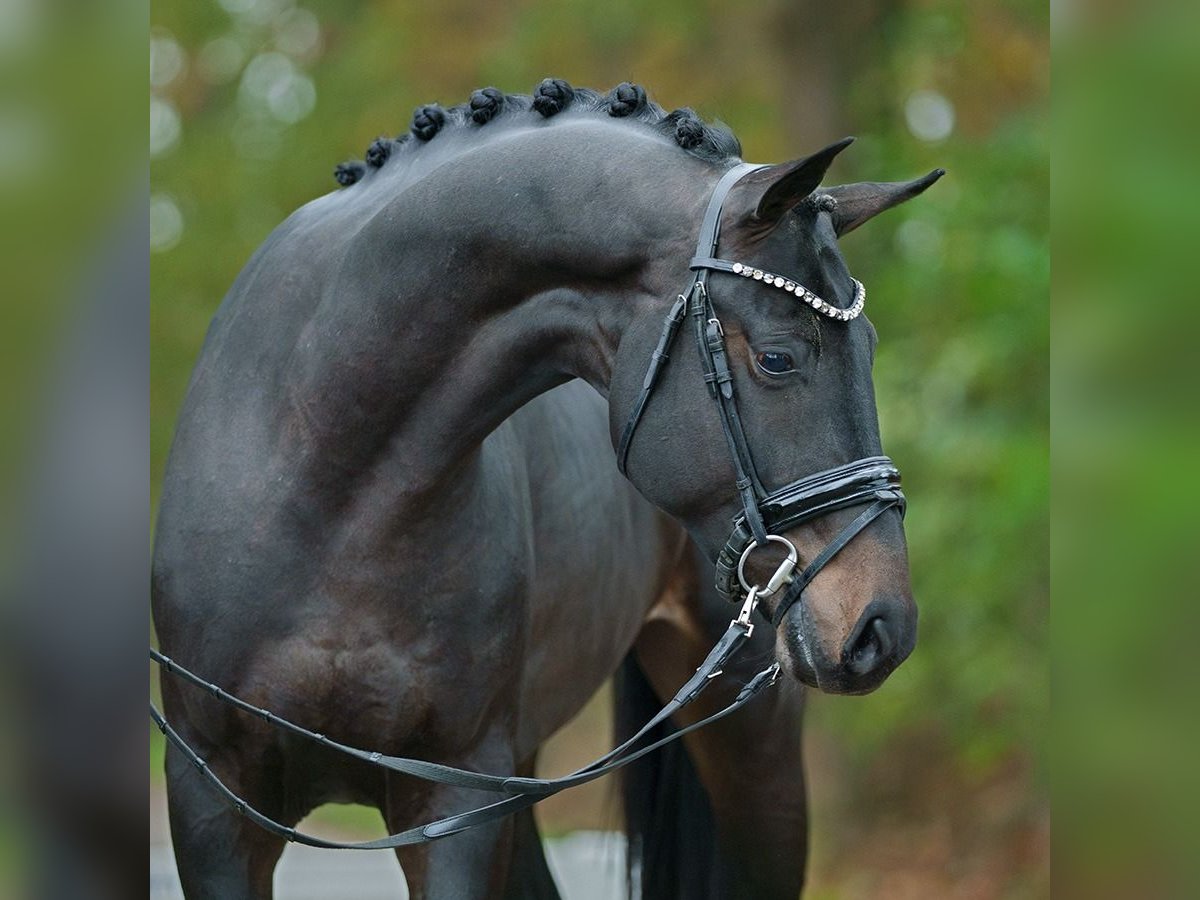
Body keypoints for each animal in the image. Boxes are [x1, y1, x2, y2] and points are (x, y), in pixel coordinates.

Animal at [151, 79, 940, 899]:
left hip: (753, 747)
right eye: (779, 358)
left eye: (870, 346)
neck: (324, 477)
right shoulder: (213, 803)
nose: (882, 627)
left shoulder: (454, 797)